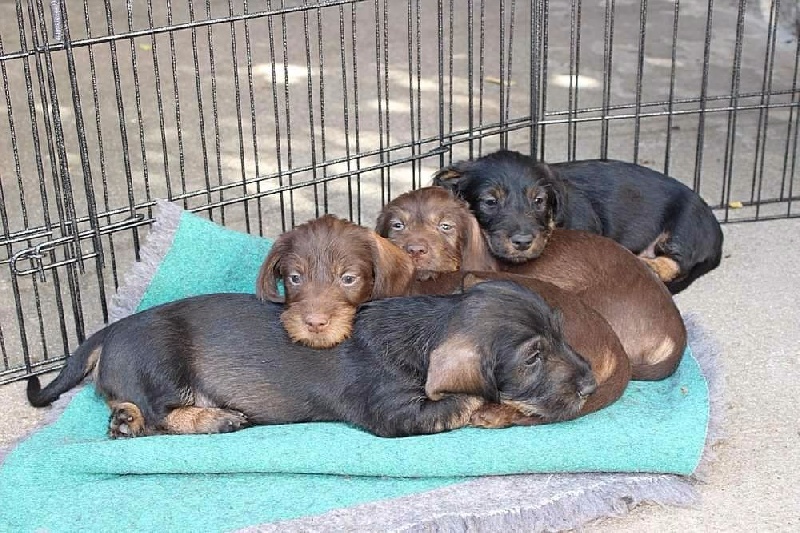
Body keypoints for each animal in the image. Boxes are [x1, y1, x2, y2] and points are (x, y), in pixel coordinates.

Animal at [26, 280, 592, 438]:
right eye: (533, 357)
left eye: (561, 332)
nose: (589, 384)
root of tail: (109, 330)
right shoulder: (391, 413)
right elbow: (464, 400)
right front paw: (499, 409)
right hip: (161, 363)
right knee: (162, 414)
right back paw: (216, 418)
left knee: (132, 411)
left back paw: (123, 421)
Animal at [432, 148, 724, 294]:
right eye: (490, 201)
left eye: (539, 200)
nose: (523, 242)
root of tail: (717, 233)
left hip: (683, 227)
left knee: (674, 264)